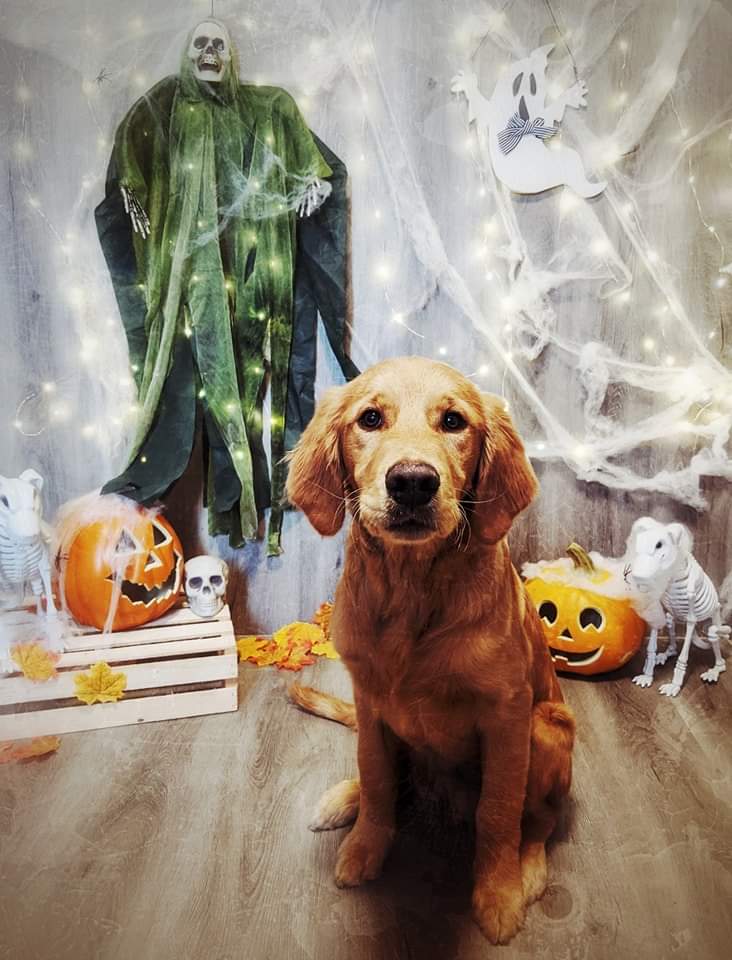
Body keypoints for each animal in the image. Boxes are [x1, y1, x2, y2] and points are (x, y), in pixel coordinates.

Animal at [286, 356, 574, 944]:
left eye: (454, 421)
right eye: (370, 418)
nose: (413, 482)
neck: (412, 589)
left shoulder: (508, 715)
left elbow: (499, 812)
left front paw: (498, 894)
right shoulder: (371, 702)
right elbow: (377, 780)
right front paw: (365, 845)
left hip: (548, 727)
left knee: (541, 819)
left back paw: (529, 869)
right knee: (386, 776)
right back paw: (344, 798)